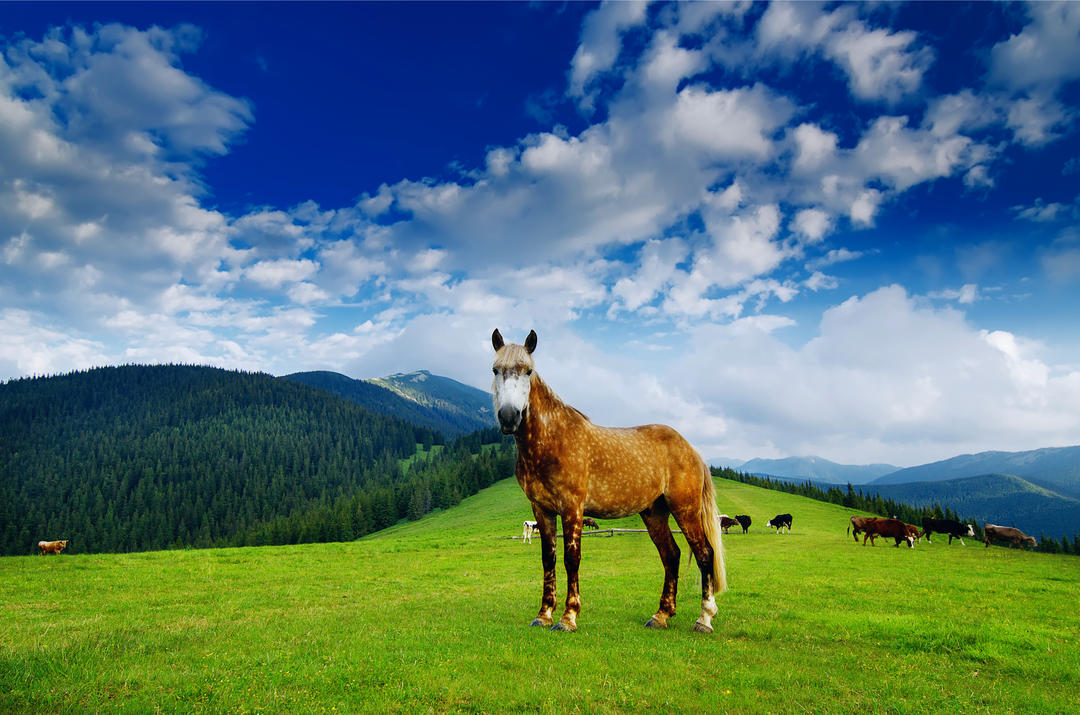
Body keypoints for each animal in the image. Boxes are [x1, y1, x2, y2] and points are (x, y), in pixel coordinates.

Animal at [494, 330, 730, 635]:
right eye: (496, 370)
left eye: (528, 371)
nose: (509, 416)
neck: (553, 439)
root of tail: (691, 450)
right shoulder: (541, 509)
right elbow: (549, 558)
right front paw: (544, 615)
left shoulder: (572, 507)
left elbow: (572, 558)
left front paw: (568, 618)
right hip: (654, 514)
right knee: (672, 555)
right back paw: (661, 615)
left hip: (685, 509)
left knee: (704, 554)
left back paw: (704, 619)